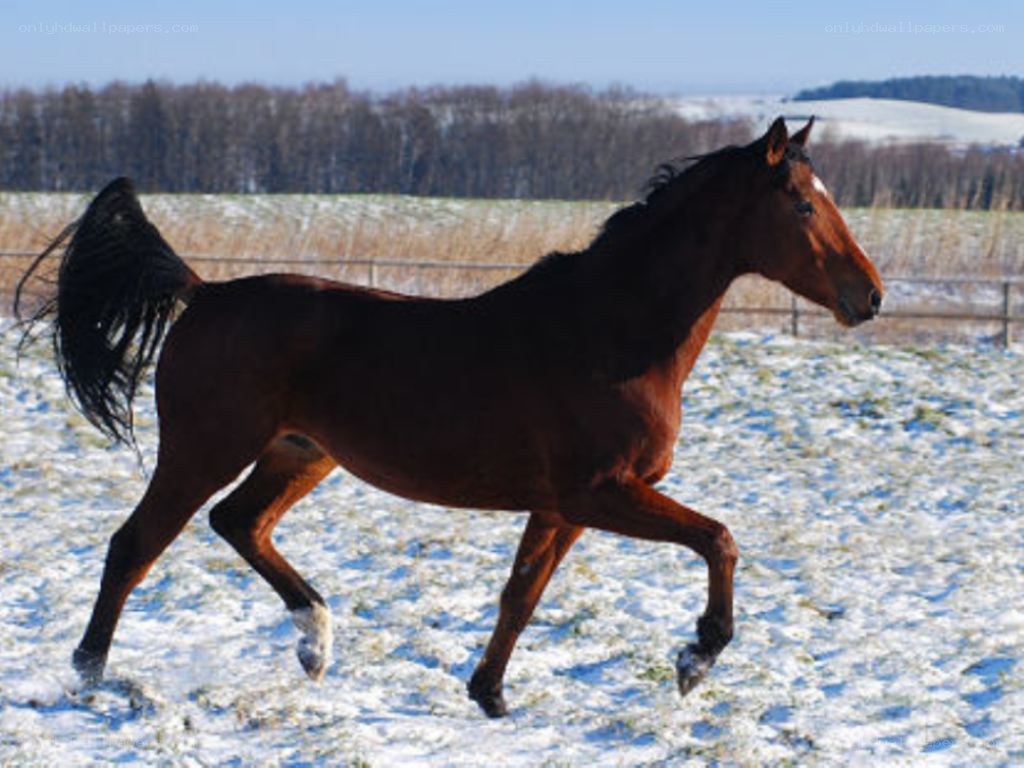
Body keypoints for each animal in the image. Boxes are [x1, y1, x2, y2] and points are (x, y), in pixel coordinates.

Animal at [15, 117, 882, 718]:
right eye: (802, 204)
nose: (870, 297)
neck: (611, 331)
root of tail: (204, 291)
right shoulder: (600, 492)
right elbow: (719, 539)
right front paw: (695, 659)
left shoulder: (563, 506)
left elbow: (520, 595)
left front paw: (490, 695)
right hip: (205, 448)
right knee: (135, 546)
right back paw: (90, 679)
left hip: (300, 452)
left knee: (238, 522)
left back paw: (315, 642)